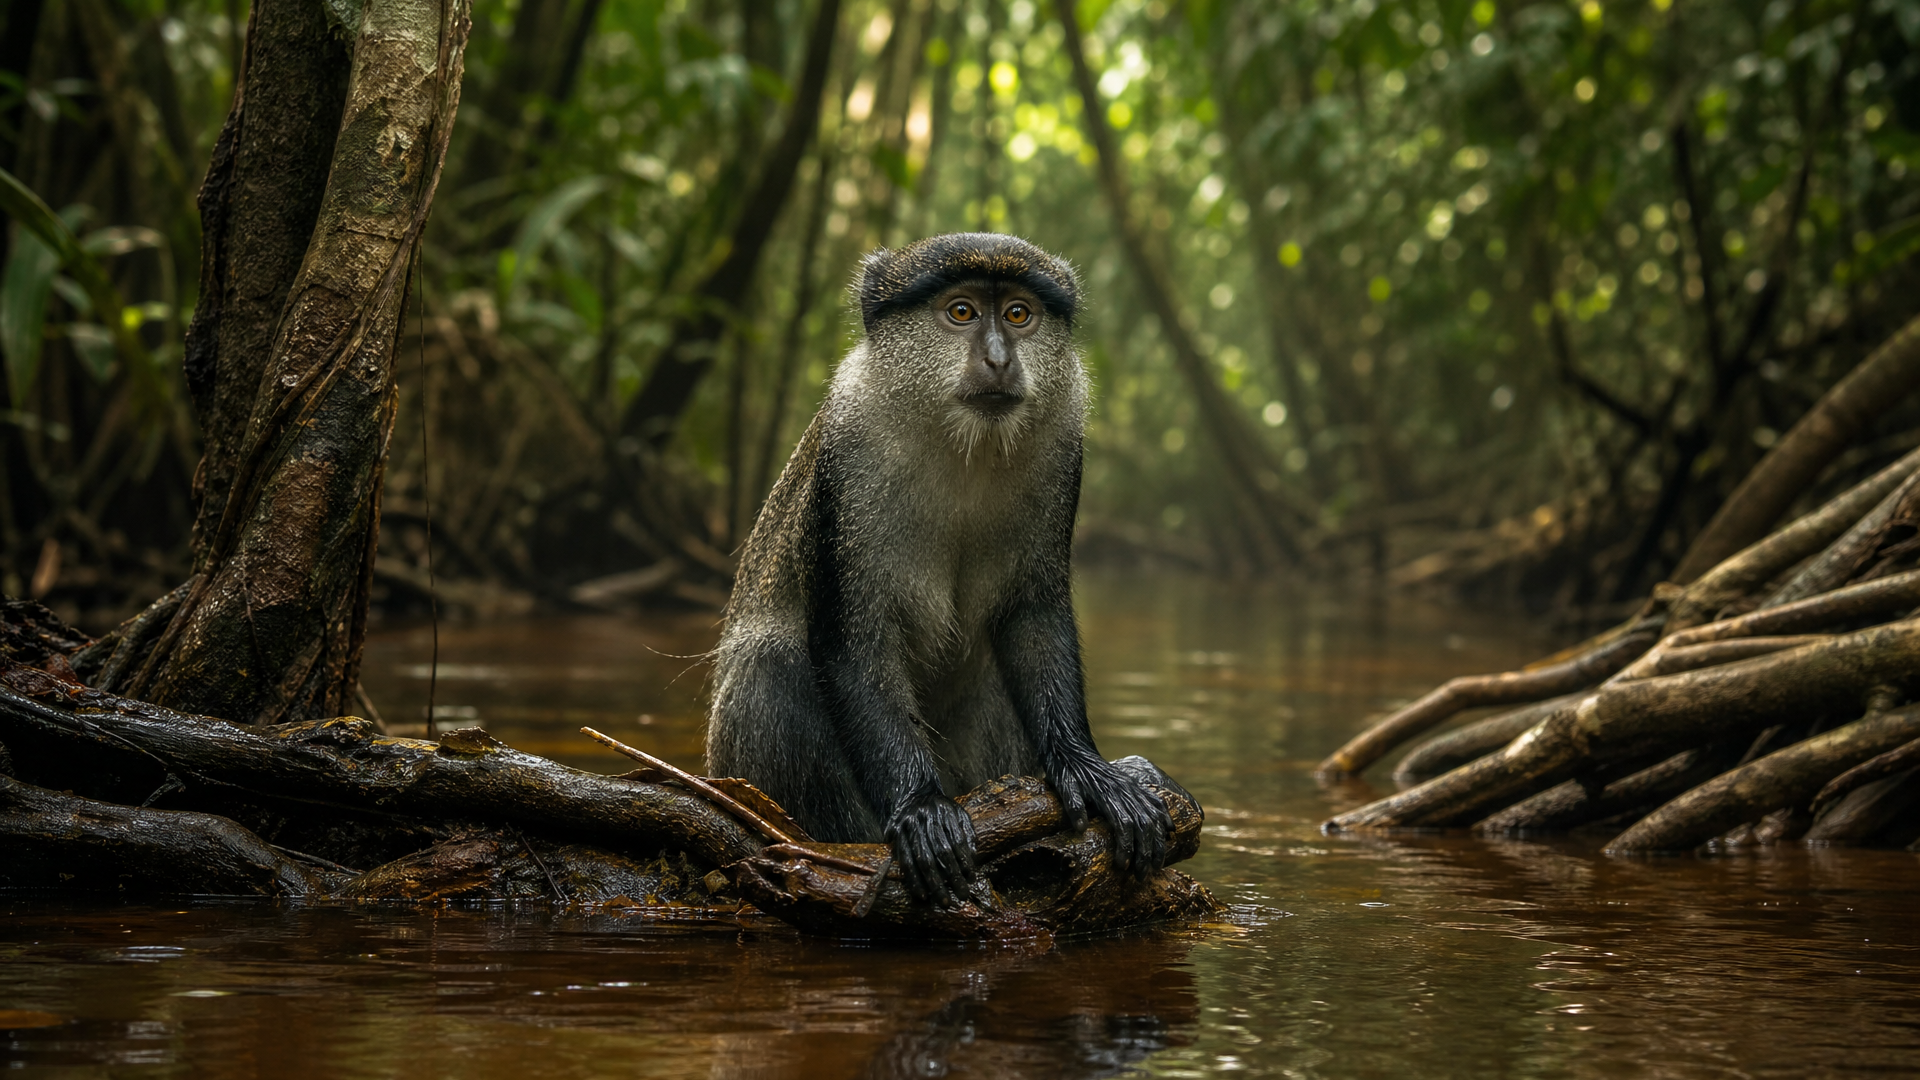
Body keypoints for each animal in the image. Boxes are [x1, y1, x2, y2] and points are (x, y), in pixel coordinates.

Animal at [706, 232, 1172, 907]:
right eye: (961, 312)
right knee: (772, 666)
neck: (964, 445)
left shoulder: (1063, 443)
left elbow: (1033, 617)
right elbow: (854, 640)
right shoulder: (848, 454)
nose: (1000, 359)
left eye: (1018, 314)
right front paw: (921, 807)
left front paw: (1088, 768)